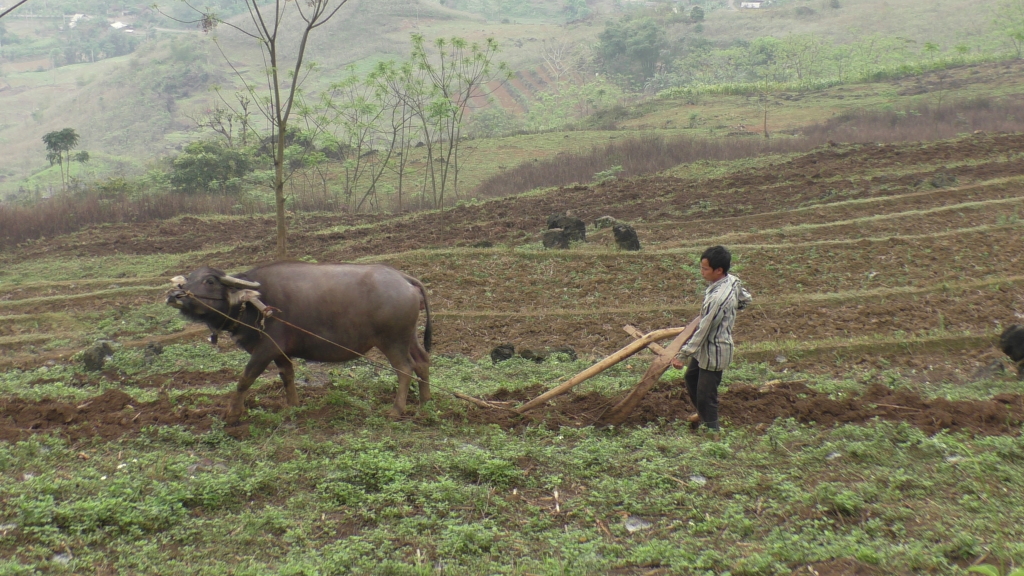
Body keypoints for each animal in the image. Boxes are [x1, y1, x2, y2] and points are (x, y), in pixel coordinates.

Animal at [165, 261, 430, 422]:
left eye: (209, 281)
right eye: (188, 279)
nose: (174, 295)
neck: (251, 306)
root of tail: (403, 278)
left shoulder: (266, 349)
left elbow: (245, 379)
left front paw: (233, 413)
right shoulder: (280, 352)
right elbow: (287, 375)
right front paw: (292, 405)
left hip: (392, 340)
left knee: (404, 368)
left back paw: (396, 410)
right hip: (409, 336)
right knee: (422, 361)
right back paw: (424, 402)